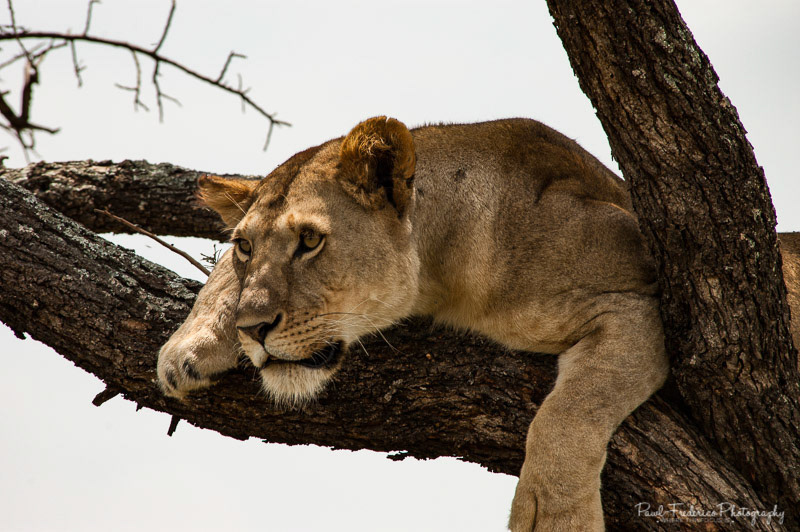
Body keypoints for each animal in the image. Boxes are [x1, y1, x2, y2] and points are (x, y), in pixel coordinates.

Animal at [157, 116, 799, 531]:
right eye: (244, 247)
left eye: (311, 241)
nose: (253, 328)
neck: (442, 275)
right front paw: (190, 344)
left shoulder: (640, 296)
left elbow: (570, 412)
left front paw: (553, 519)